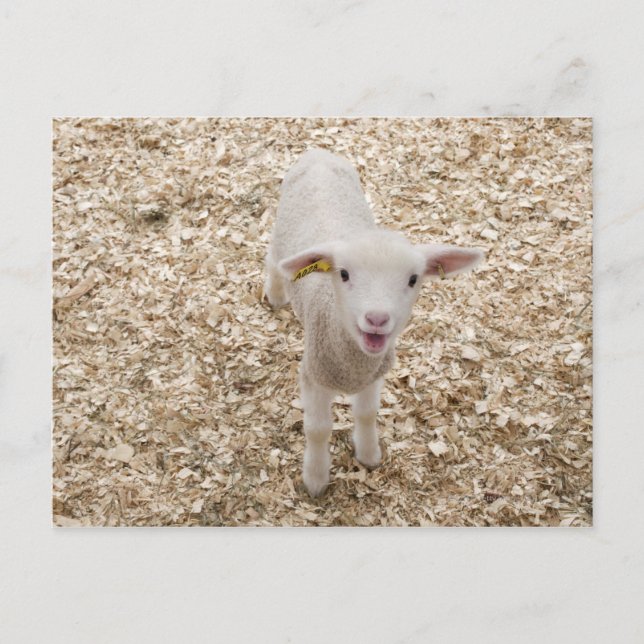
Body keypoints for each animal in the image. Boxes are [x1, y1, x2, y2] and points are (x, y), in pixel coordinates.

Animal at [265, 149, 484, 497]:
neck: (352, 363)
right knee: (273, 260)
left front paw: (369, 455)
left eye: (413, 279)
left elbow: (367, 413)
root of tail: (317, 153)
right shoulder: (313, 376)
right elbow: (317, 430)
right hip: (280, 232)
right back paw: (274, 294)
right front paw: (315, 479)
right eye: (343, 274)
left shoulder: (374, 376)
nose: (377, 318)